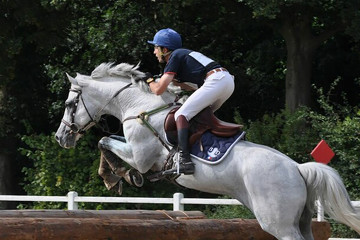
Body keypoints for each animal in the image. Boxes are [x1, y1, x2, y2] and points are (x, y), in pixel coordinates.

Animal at [55, 62, 360, 239]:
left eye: (70, 104)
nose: (61, 137)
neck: (138, 105)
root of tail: (298, 168)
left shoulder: (140, 157)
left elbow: (104, 142)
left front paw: (119, 176)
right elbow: (106, 141)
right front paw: (113, 176)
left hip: (280, 223)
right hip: (301, 221)